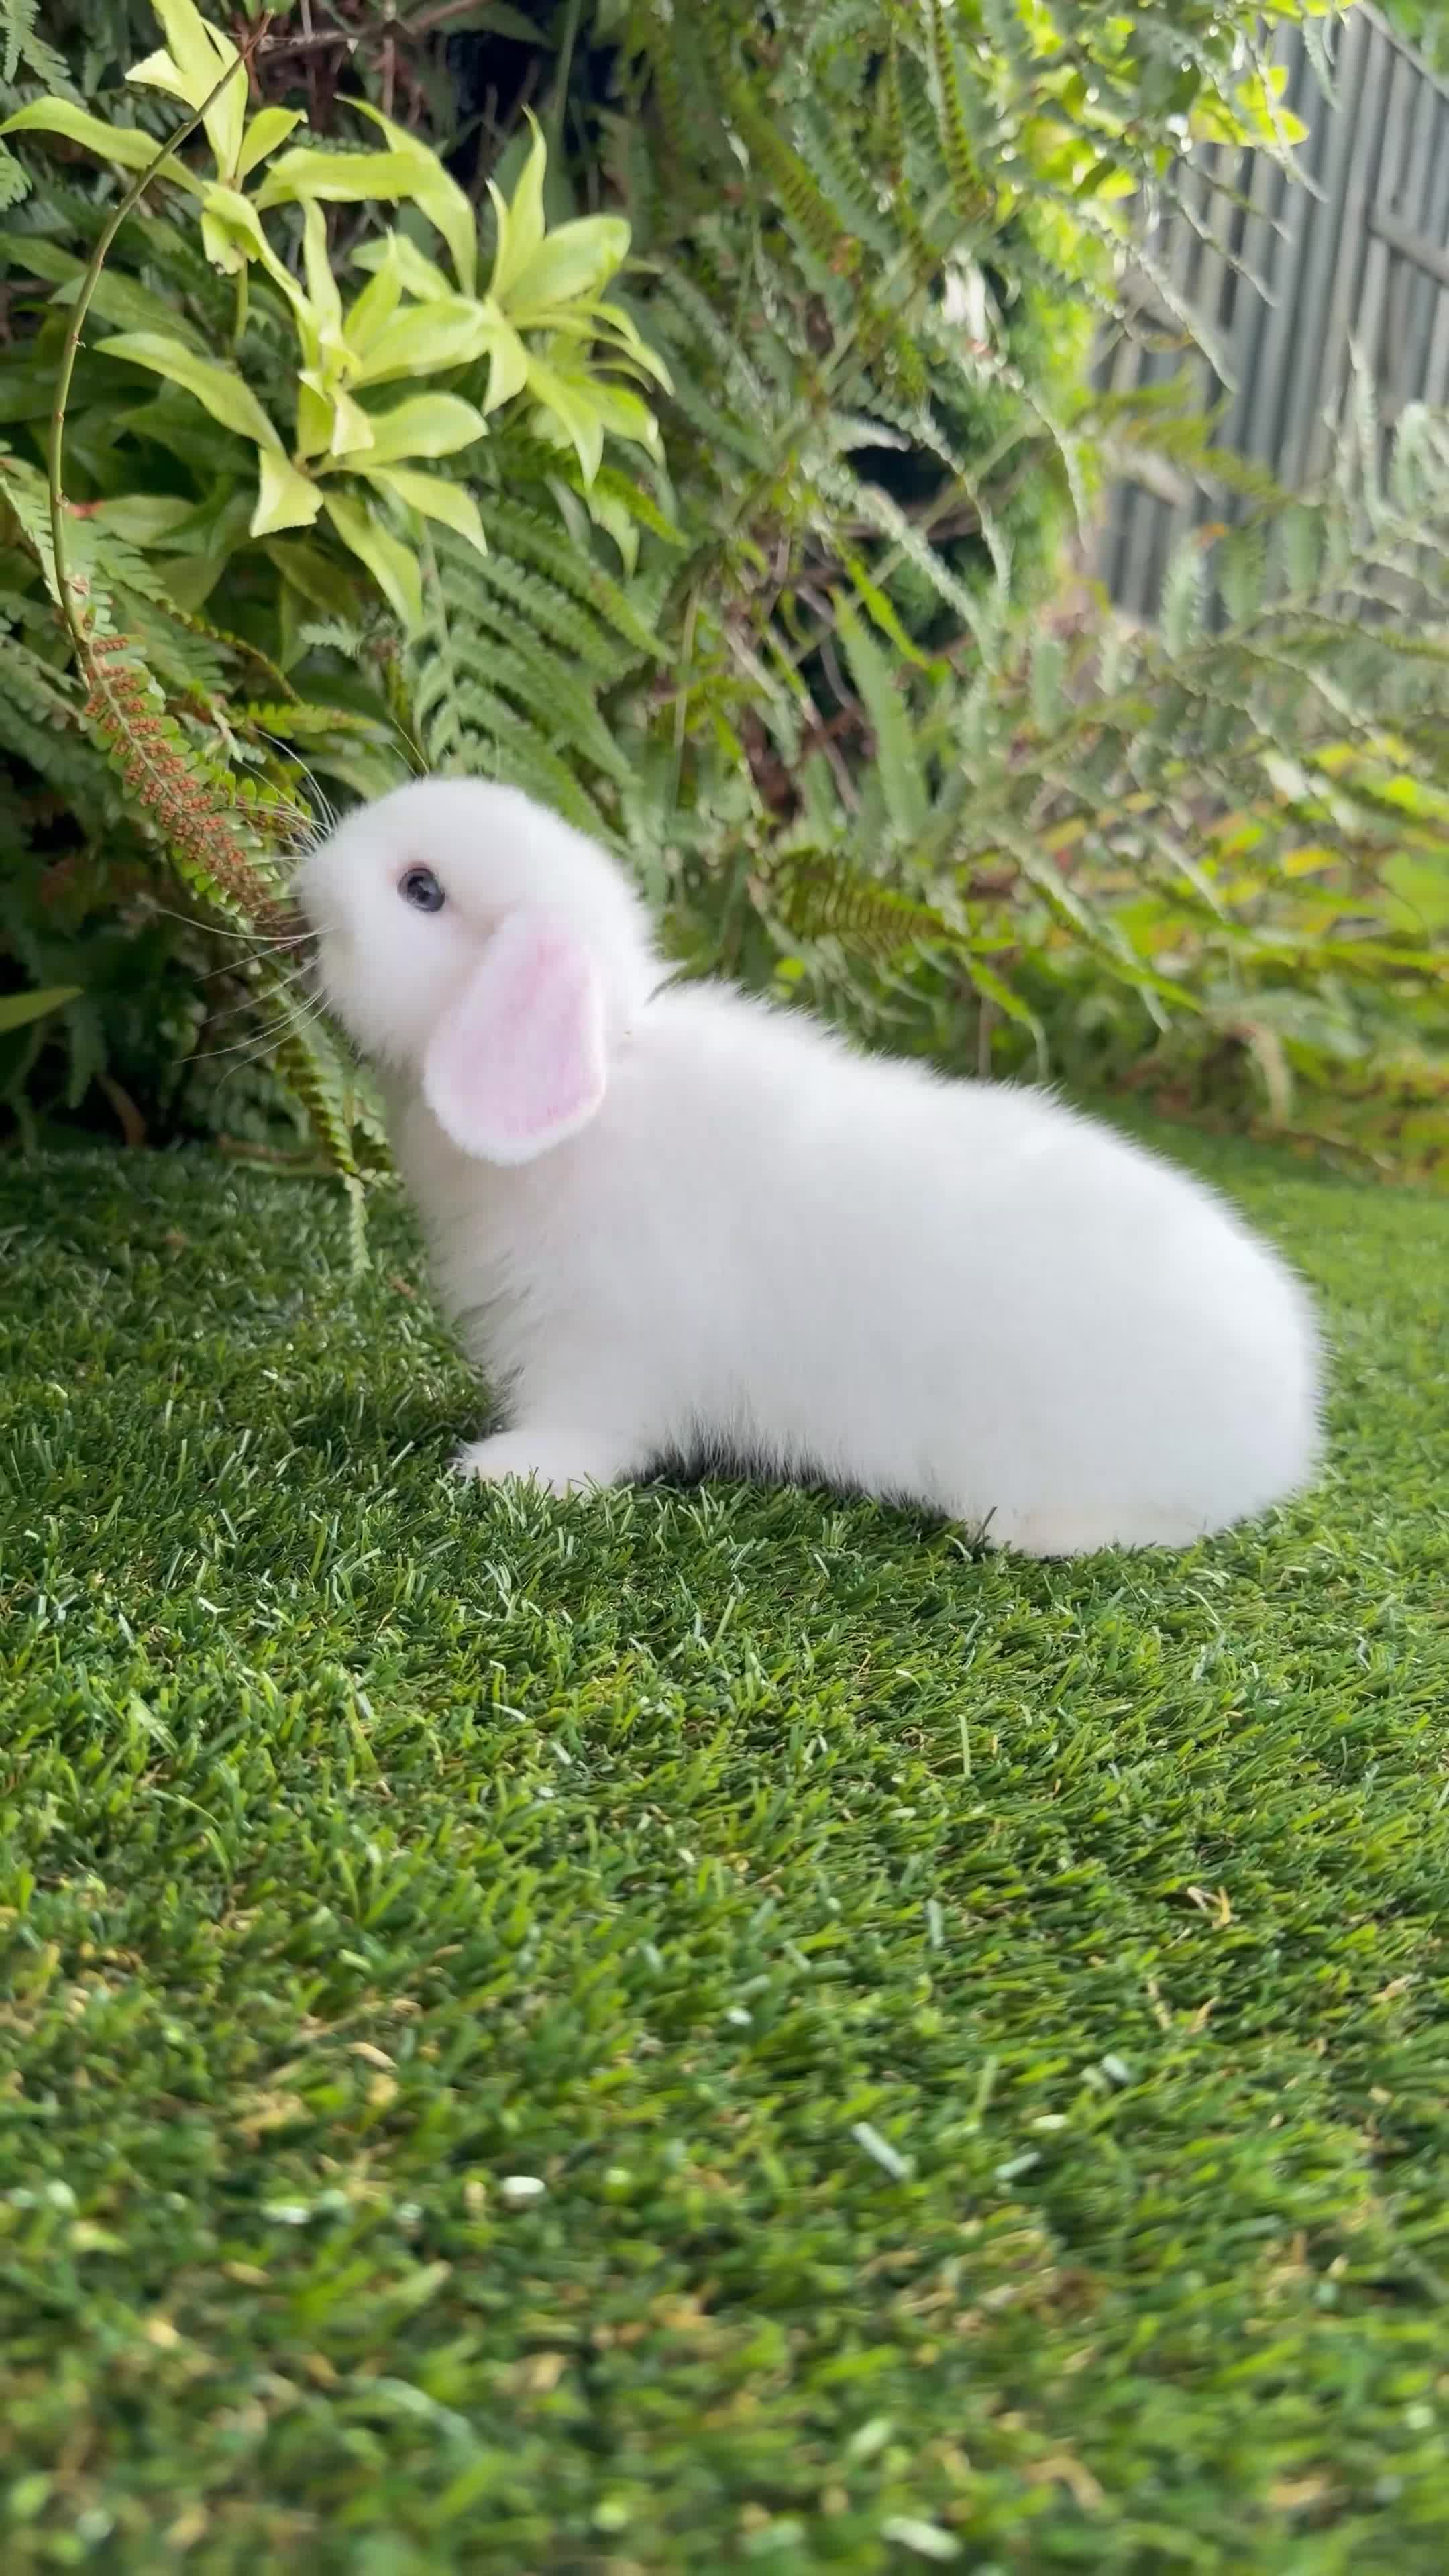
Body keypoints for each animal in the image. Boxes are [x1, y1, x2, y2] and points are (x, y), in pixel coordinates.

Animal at [296, 776, 1322, 1555]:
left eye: (421, 889)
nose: (307, 880)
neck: (597, 1101)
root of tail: (1288, 1418)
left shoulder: (601, 1347)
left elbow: (592, 1430)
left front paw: (509, 1473)